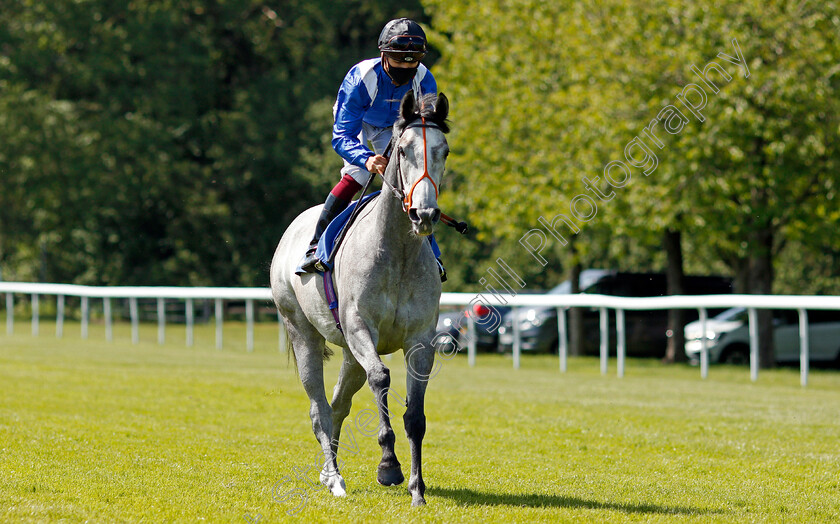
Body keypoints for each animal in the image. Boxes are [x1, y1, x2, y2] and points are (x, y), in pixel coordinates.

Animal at [272, 92, 450, 506]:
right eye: (403, 150)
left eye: (444, 150)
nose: (424, 213)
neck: (398, 252)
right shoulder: (359, 327)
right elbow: (381, 378)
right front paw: (389, 466)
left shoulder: (420, 339)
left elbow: (415, 416)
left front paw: (417, 488)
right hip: (303, 331)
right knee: (319, 409)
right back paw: (335, 478)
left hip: (351, 354)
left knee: (338, 405)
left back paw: (328, 472)